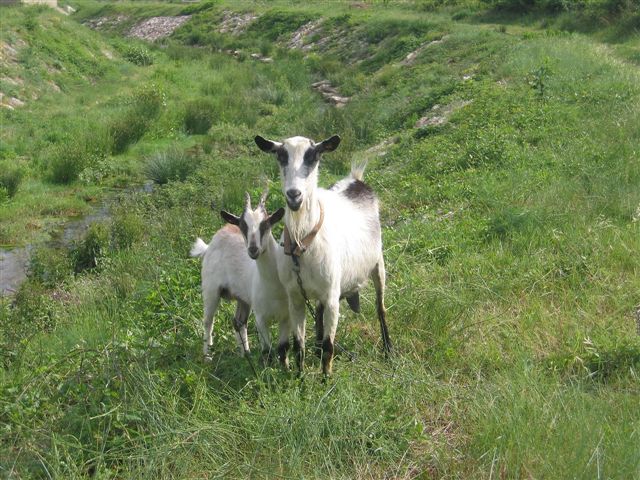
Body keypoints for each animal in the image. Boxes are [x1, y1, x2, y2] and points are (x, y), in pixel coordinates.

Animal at [190, 192, 288, 364]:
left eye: (266, 224)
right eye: (243, 226)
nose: (253, 249)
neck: (273, 284)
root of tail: (209, 246)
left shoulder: (288, 316)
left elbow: (284, 350)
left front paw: (287, 369)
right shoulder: (260, 317)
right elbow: (267, 351)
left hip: (243, 298)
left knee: (239, 322)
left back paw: (245, 354)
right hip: (210, 290)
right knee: (208, 321)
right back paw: (207, 356)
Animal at [255, 135, 390, 376]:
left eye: (313, 156)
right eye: (280, 155)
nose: (294, 195)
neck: (303, 244)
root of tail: (355, 180)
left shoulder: (332, 297)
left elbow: (329, 346)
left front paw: (326, 379)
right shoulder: (295, 298)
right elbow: (298, 345)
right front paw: (299, 379)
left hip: (378, 264)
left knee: (380, 307)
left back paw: (389, 351)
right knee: (318, 314)